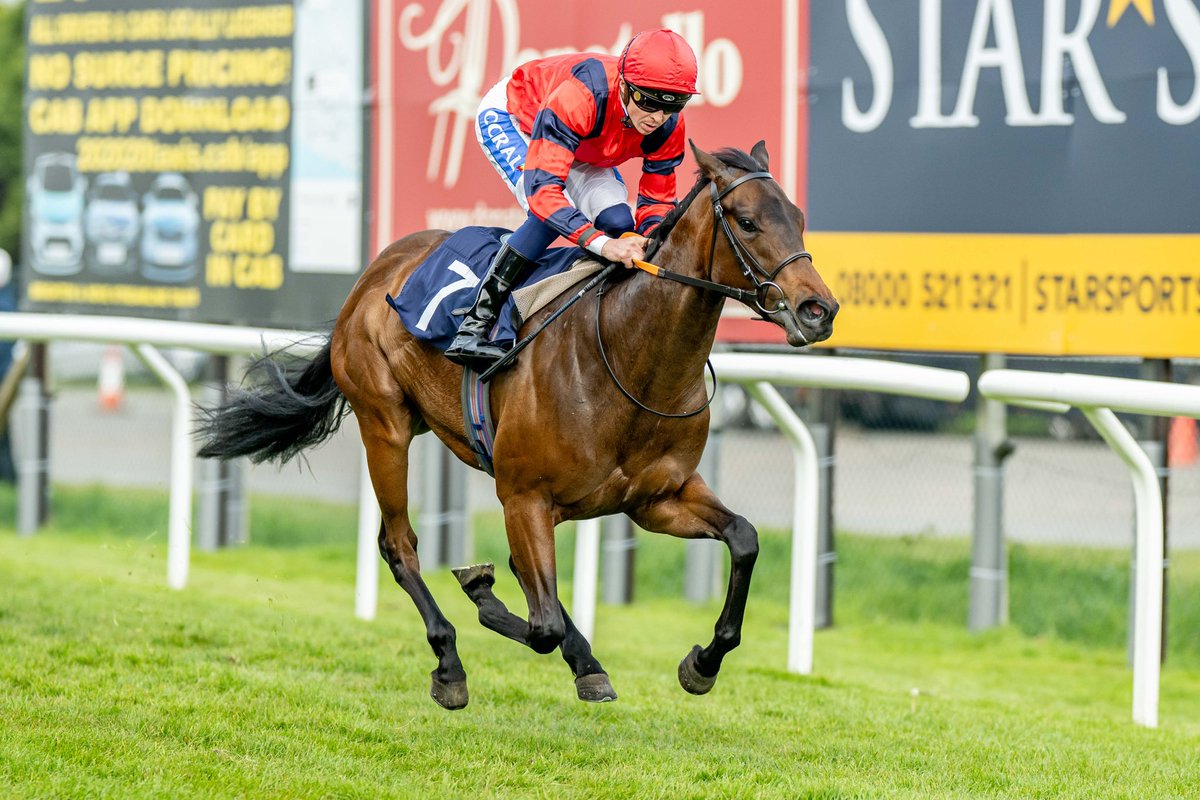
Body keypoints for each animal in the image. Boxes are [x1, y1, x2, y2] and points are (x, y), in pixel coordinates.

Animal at [194, 140, 835, 710]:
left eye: (801, 219)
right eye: (748, 222)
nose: (818, 310)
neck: (628, 356)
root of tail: (374, 272)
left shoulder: (657, 498)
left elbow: (744, 538)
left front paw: (702, 663)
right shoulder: (525, 496)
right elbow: (541, 623)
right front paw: (483, 598)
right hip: (385, 425)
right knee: (400, 545)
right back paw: (451, 661)